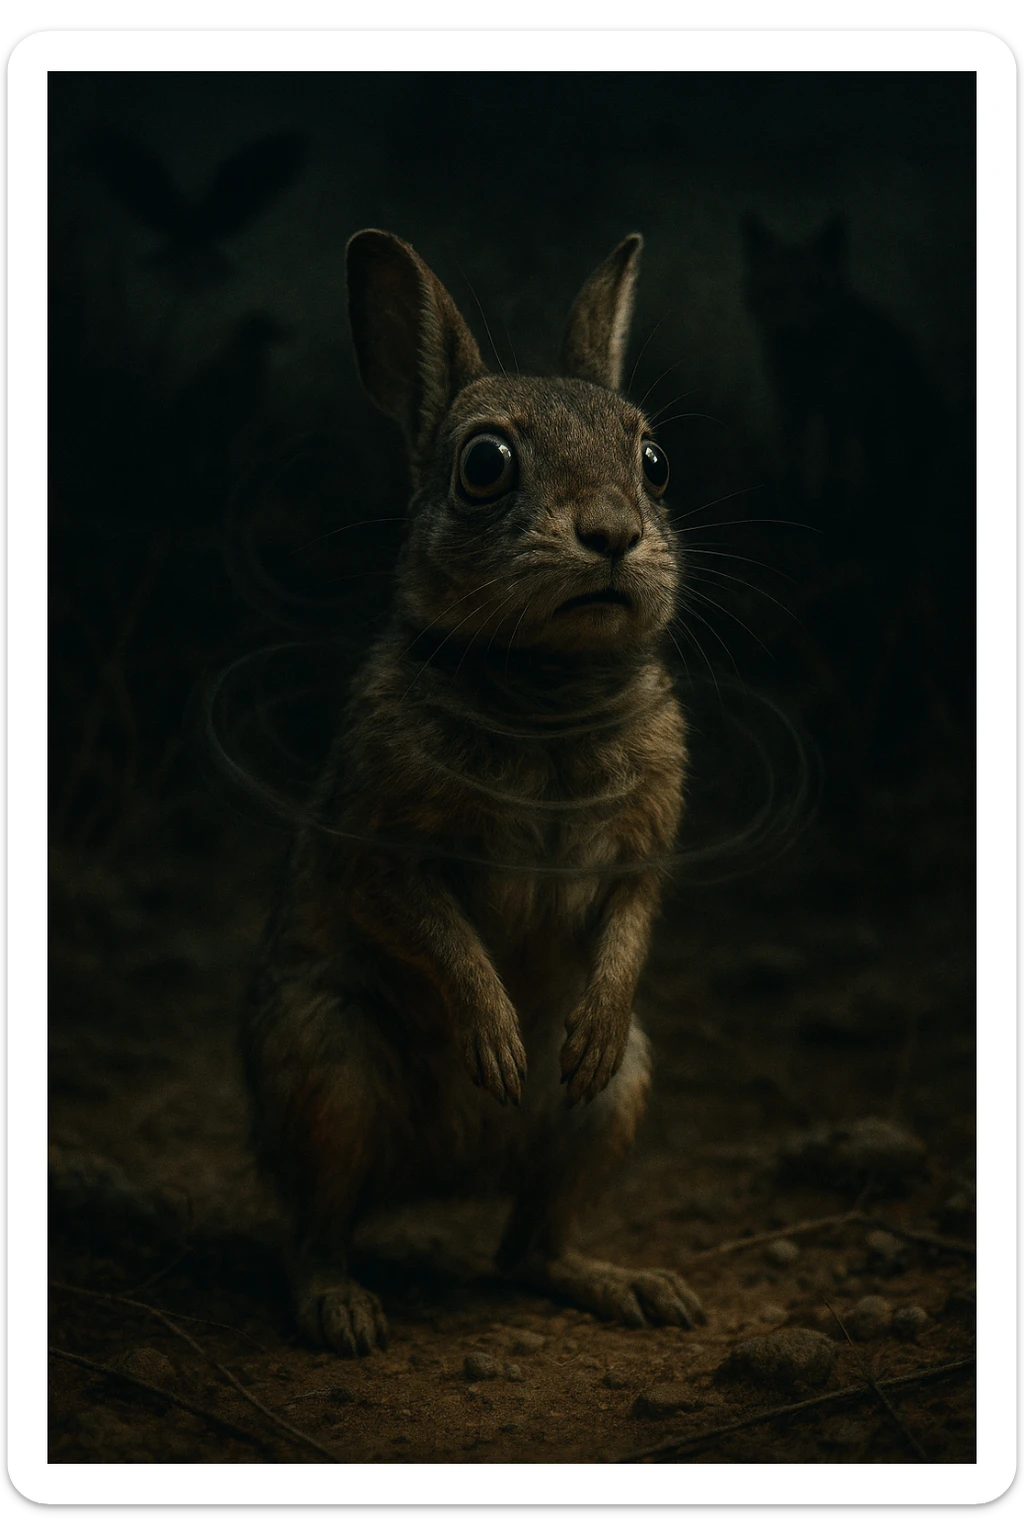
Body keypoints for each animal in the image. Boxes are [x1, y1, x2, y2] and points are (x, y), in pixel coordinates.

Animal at [242, 229, 706, 1355]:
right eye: (485, 466)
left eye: (654, 463)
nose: (614, 534)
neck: (545, 680)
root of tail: (445, 1177)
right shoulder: (381, 841)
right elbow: (435, 929)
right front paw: (494, 1042)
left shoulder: (647, 837)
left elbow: (631, 915)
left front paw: (578, 1028)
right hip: (326, 1066)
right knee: (314, 1226)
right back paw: (342, 1309)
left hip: (612, 1104)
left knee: (530, 1242)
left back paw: (627, 1284)